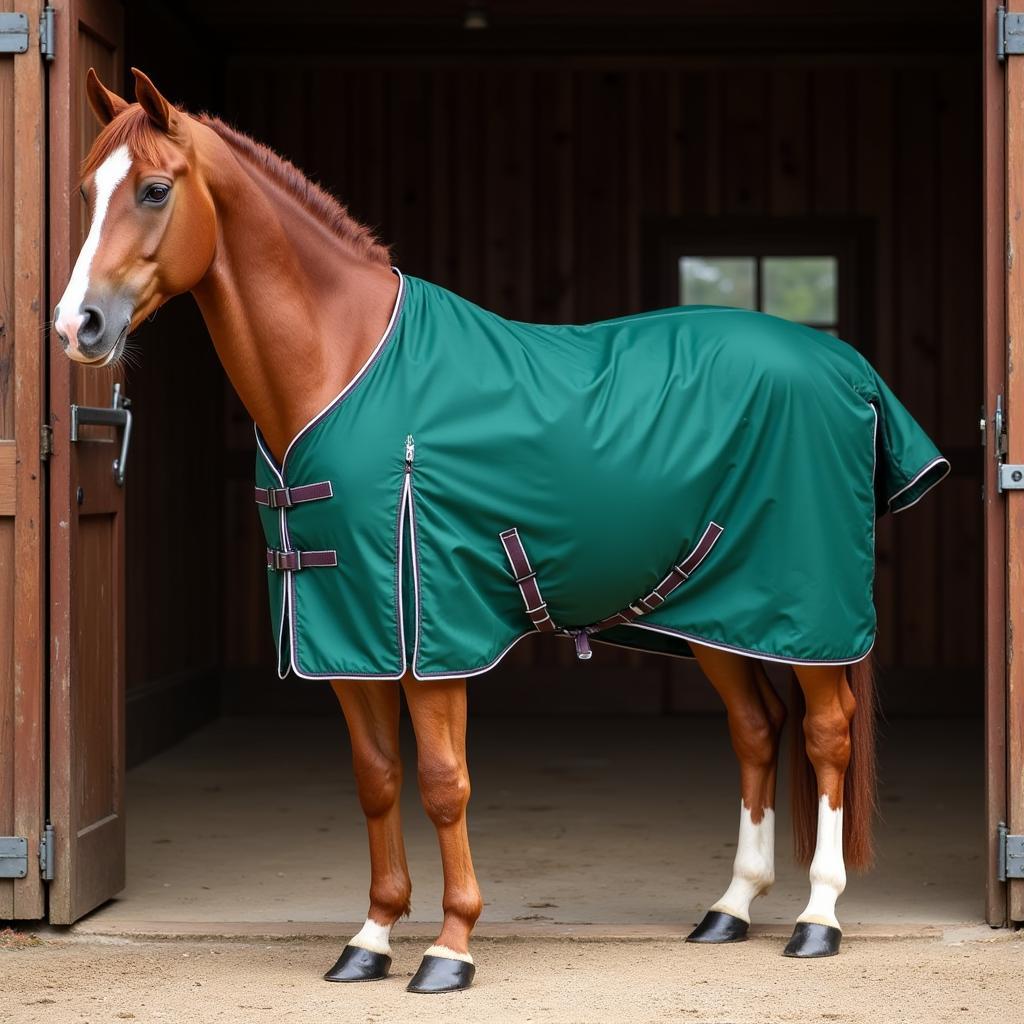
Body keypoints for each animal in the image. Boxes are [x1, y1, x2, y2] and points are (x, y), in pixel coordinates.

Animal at [56, 70, 946, 991]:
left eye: (155, 190)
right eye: (85, 192)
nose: (77, 325)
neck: (343, 363)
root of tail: (848, 369)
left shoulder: (431, 631)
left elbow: (444, 781)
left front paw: (450, 948)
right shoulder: (347, 635)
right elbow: (377, 780)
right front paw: (370, 937)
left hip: (809, 619)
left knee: (828, 732)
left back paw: (817, 918)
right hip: (719, 616)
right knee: (757, 730)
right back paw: (729, 909)